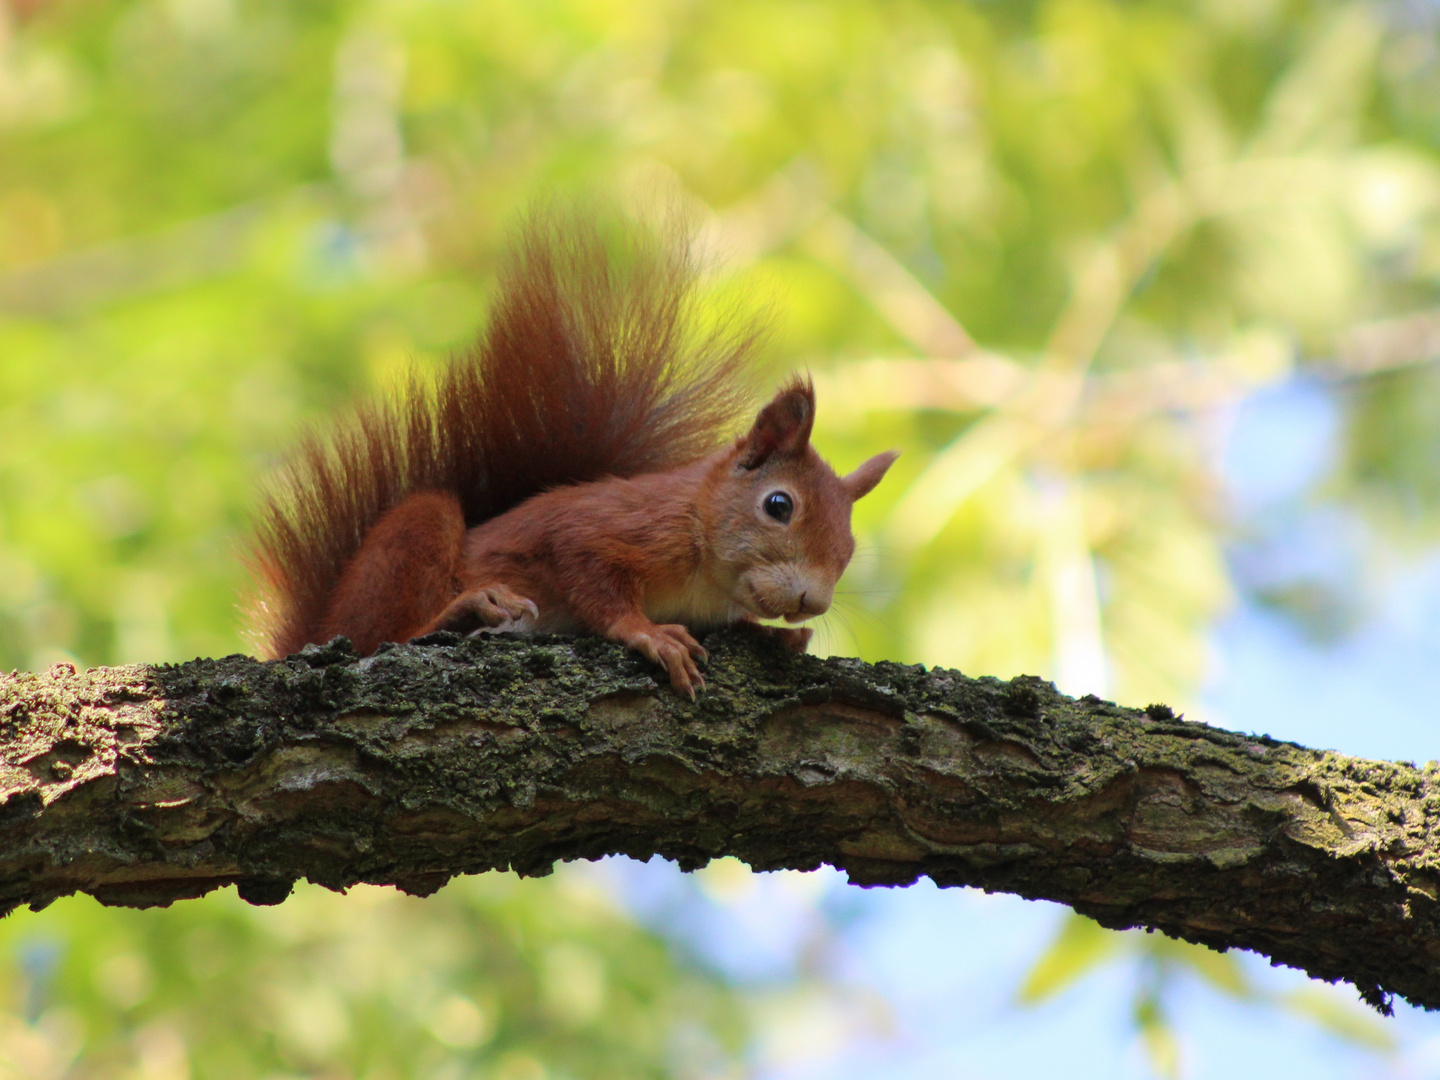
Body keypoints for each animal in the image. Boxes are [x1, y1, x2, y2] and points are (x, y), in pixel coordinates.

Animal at [250, 216, 898, 696]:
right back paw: (466, 609)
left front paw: (775, 636)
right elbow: (590, 576)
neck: (706, 567)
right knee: (381, 636)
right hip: (405, 555)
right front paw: (648, 634)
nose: (813, 602)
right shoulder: (604, 528)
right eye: (779, 505)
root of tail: (317, 629)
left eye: (849, 547)